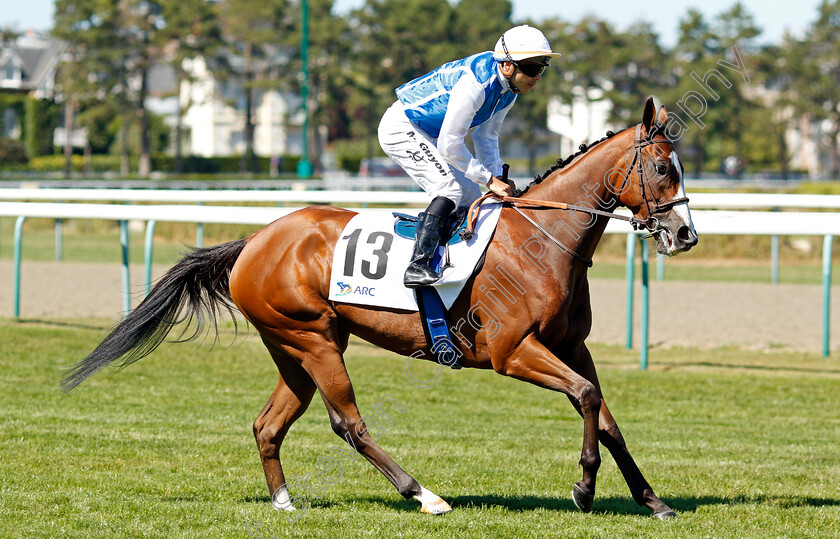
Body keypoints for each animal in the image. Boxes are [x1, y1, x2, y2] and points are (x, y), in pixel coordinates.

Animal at [64, 99, 696, 520]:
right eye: (664, 169)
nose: (685, 235)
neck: (541, 240)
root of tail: (253, 241)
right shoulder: (513, 352)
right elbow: (587, 399)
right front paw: (584, 489)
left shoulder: (571, 346)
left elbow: (606, 416)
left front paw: (651, 499)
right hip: (314, 340)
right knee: (348, 422)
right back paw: (423, 494)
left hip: (295, 347)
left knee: (268, 424)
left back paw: (284, 501)